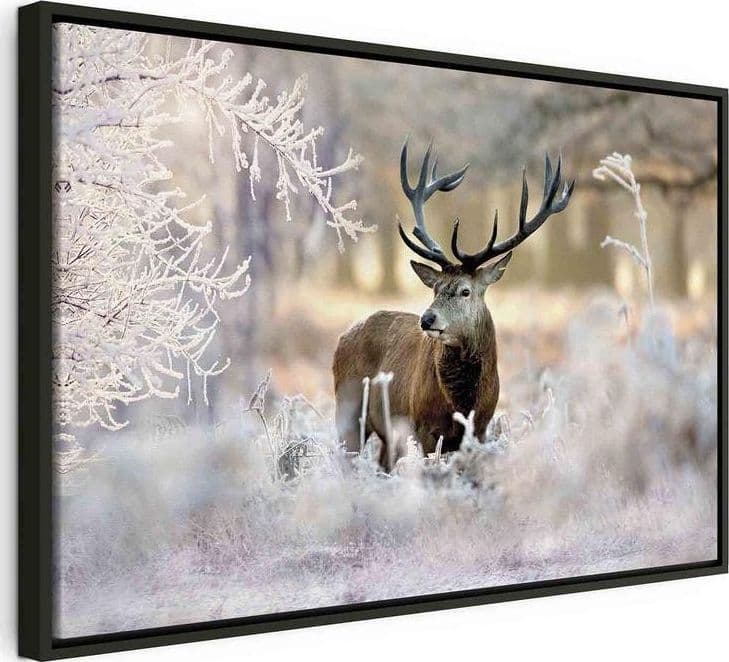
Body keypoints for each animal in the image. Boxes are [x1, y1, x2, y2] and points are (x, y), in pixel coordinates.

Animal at [333, 141, 574, 470]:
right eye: (435, 288)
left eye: (465, 291)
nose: (427, 319)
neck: (462, 403)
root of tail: (342, 338)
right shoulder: (422, 427)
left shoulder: (481, 429)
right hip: (348, 407)